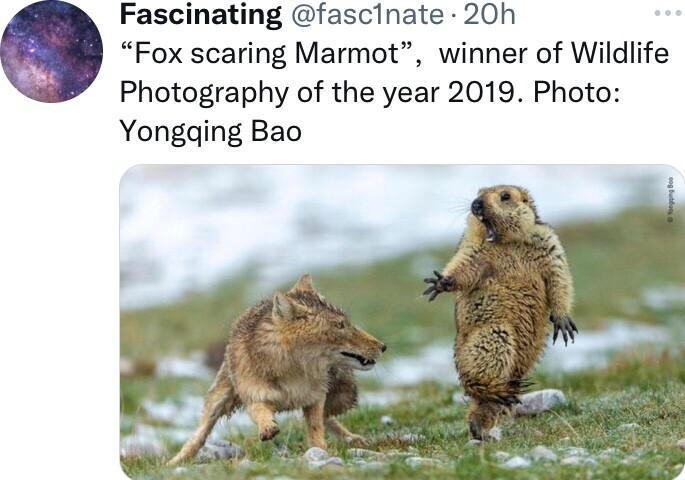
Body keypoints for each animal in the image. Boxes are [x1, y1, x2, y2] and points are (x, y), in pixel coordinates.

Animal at [168, 274, 387, 465]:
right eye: (340, 325)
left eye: (347, 323)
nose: (383, 346)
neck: (293, 372)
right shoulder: (255, 397)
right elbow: (260, 411)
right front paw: (267, 428)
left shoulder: (315, 398)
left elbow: (316, 428)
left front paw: (321, 451)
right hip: (218, 401)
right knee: (199, 435)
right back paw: (175, 461)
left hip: (343, 396)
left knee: (328, 418)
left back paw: (353, 439)